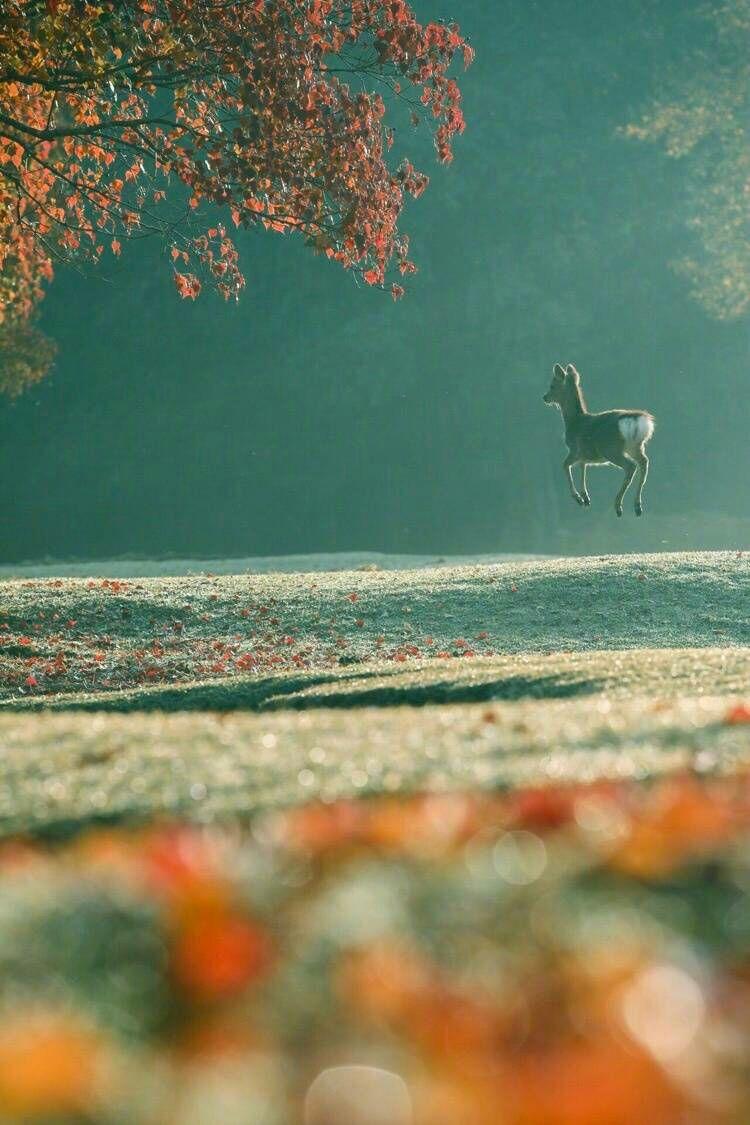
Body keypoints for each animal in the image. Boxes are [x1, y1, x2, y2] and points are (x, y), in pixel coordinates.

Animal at [541, 362, 652, 515]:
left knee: (631, 466)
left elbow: (564, 465)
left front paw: (578, 498)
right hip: (636, 446)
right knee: (644, 463)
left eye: (552, 385)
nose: (545, 397)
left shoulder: (574, 449)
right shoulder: (584, 454)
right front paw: (585, 498)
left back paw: (618, 506)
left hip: (612, 449)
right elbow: (582, 468)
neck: (573, 421)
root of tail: (636, 420)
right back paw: (637, 506)